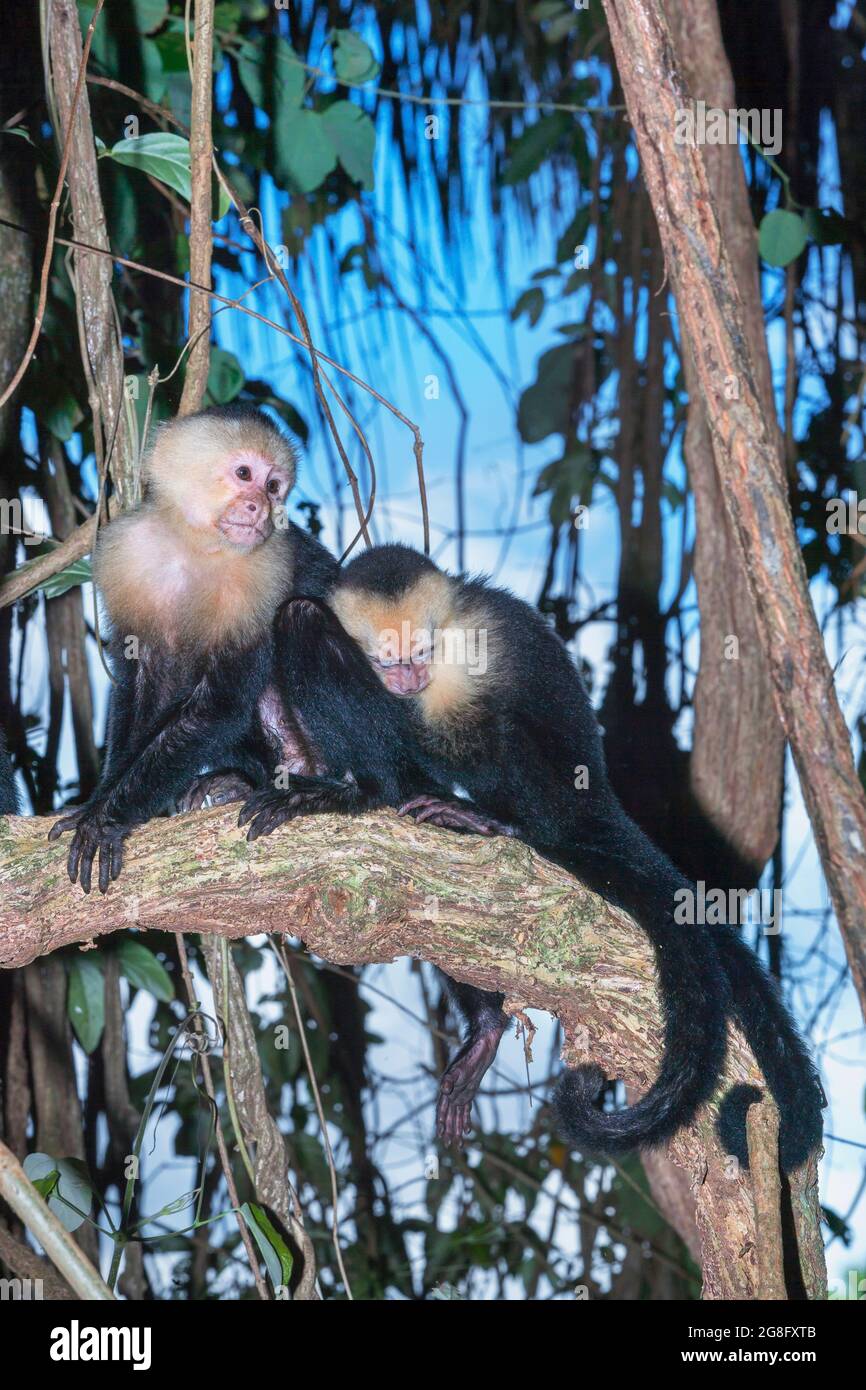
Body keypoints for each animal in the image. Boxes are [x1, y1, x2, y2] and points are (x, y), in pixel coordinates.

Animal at [234, 547, 828, 1167]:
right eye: (387, 659)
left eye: (419, 654)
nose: (409, 678)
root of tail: (598, 806)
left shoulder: (460, 664)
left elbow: (443, 739)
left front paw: (355, 785)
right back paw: (485, 1024)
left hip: (562, 798)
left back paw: (470, 817)